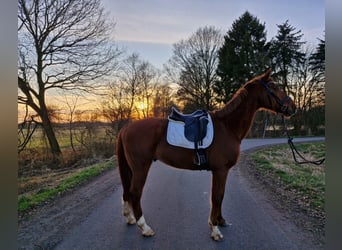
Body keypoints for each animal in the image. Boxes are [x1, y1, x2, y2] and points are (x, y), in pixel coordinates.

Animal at [116, 68, 296, 240]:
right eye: (273, 86)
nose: (293, 108)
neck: (227, 127)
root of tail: (125, 128)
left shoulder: (222, 171)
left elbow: (220, 196)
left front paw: (220, 221)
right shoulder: (220, 170)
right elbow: (217, 197)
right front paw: (215, 229)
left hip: (132, 168)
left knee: (127, 192)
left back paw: (130, 218)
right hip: (141, 168)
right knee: (135, 193)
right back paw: (145, 228)